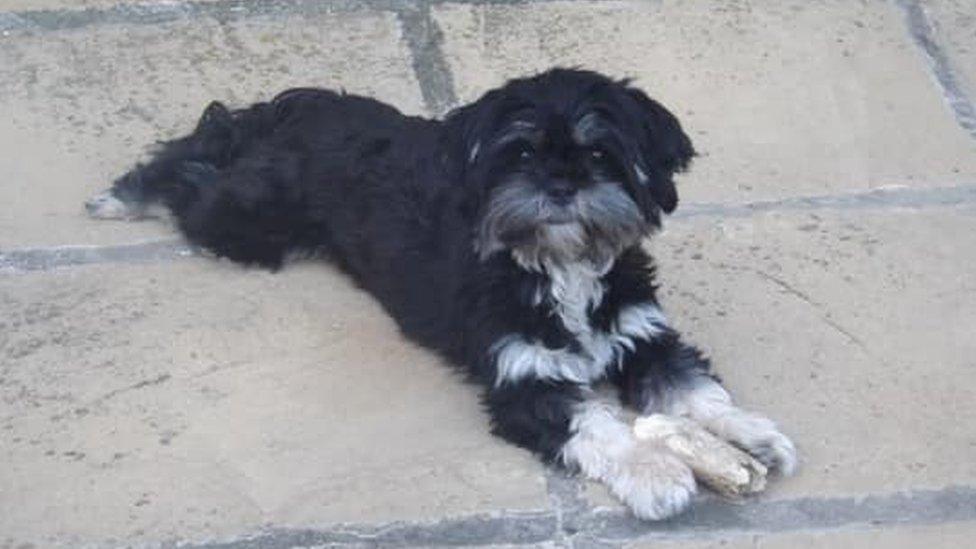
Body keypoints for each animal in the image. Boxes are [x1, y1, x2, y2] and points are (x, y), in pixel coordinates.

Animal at [87, 68, 796, 520]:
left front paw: (750, 435)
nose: (560, 188)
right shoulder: (524, 381)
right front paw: (657, 473)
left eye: (600, 154)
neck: (557, 267)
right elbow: (598, 425)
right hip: (249, 224)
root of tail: (295, 107)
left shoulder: (645, 338)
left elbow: (695, 391)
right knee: (192, 172)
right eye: (522, 153)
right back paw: (126, 195)